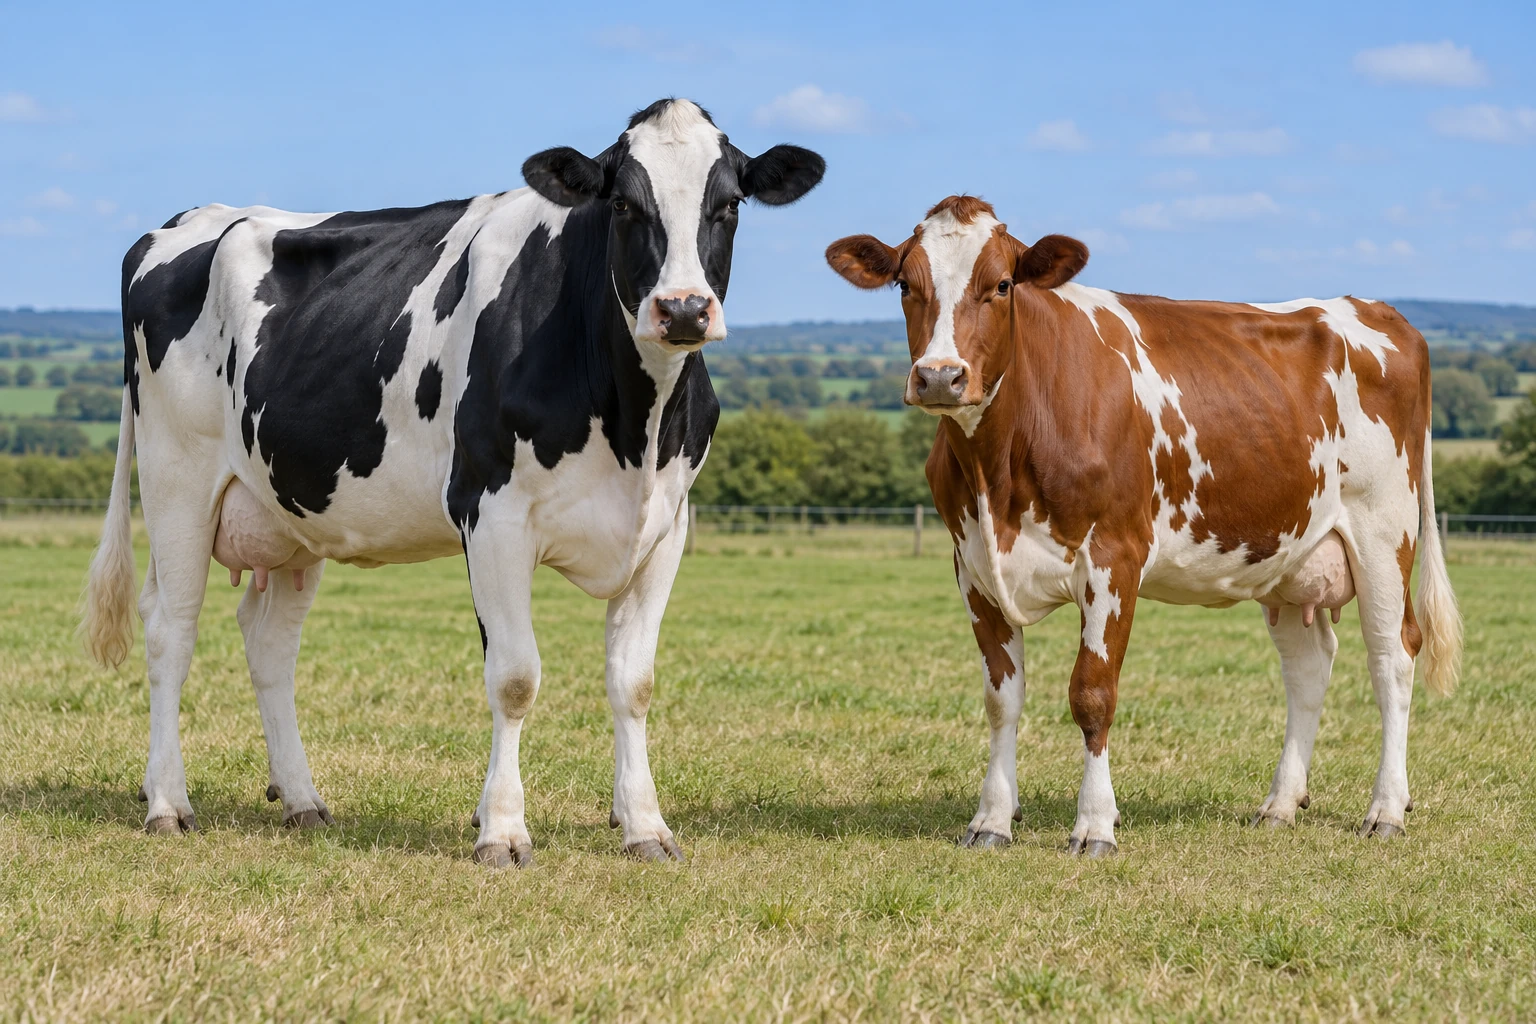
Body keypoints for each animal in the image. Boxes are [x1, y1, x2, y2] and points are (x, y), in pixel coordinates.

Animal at [81, 99, 824, 867]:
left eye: (729, 204)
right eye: (622, 202)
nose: (682, 309)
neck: (631, 427)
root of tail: (178, 224)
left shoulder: (665, 528)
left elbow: (634, 682)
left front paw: (644, 825)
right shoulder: (492, 515)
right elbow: (516, 677)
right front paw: (502, 830)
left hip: (290, 509)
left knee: (269, 643)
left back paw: (302, 799)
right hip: (177, 480)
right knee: (171, 629)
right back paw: (168, 803)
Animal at [826, 195, 1462, 856]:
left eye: (1001, 285)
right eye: (905, 283)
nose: (939, 376)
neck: (995, 472)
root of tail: (1376, 309)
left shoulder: (1113, 559)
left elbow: (1092, 694)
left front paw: (1094, 824)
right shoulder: (973, 567)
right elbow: (1002, 700)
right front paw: (993, 819)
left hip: (1384, 534)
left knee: (1393, 658)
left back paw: (1386, 809)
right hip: (1288, 556)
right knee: (1308, 668)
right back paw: (1281, 805)